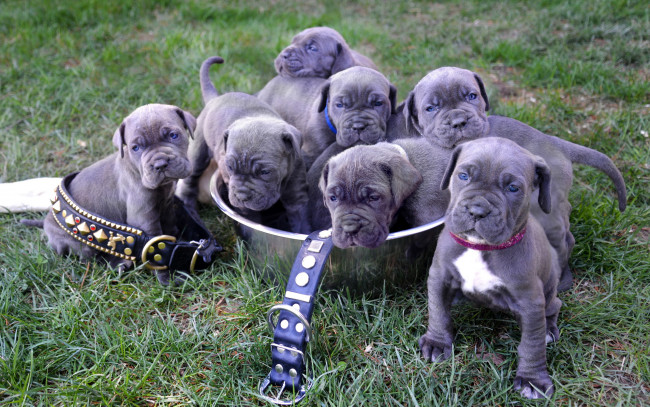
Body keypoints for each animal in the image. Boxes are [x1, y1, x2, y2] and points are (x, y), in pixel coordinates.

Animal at [176, 58, 310, 236]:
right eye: (230, 168)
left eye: (265, 172)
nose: (241, 196)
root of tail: (215, 98)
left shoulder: (297, 196)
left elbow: (301, 222)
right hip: (197, 152)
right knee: (188, 183)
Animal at [392, 66, 624, 290]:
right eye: (431, 108)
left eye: (472, 96)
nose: (459, 121)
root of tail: (557, 143)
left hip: (545, 209)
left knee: (562, 242)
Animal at [418, 139, 560, 400]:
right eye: (463, 175)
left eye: (513, 188)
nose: (477, 210)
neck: (480, 246)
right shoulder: (440, 277)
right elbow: (438, 311)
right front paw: (437, 342)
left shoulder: (531, 301)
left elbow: (532, 344)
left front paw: (533, 380)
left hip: (549, 290)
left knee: (554, 308)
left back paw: (550, 330)